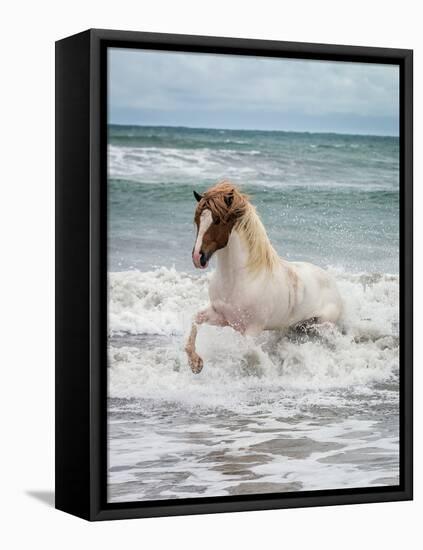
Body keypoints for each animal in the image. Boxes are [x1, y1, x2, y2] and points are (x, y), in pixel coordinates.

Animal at [184, 181, 342, 376]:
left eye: (218, 220)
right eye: (198, 220)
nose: (198, 257)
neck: (238, 279)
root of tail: (332, 282)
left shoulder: (252, 328)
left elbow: (247, 350)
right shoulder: (222, 317)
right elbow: (195, 320)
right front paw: (195, 364)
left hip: (323, 326)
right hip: (295, 326)